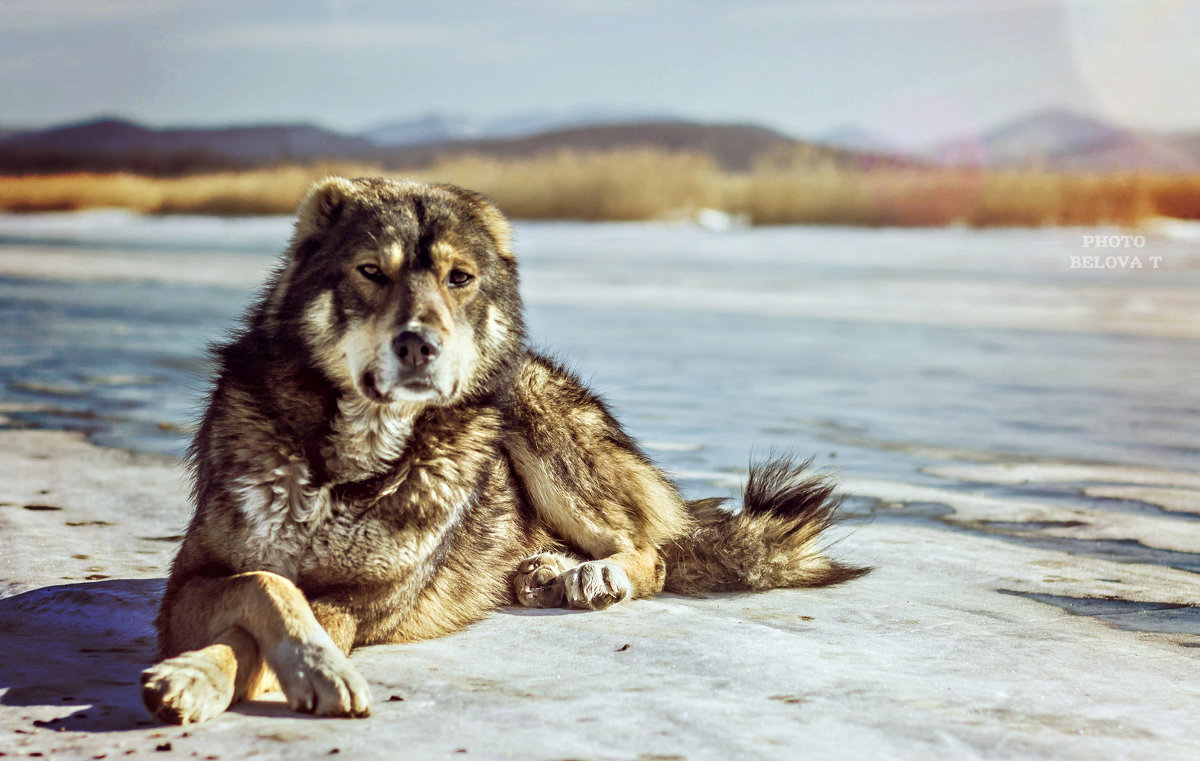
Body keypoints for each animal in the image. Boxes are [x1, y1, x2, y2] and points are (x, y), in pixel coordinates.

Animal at [140, 177, 868, 724]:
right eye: (371, 271)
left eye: (459, 278)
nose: (419, 344)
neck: (347, 470)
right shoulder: (189, 582)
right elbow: (266, 587)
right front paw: (202, 673)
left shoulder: (362, 602)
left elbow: (269, 621)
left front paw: (294, 671)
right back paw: (544, 570)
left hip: (535, 424)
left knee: (652, 551)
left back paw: (592, 574)